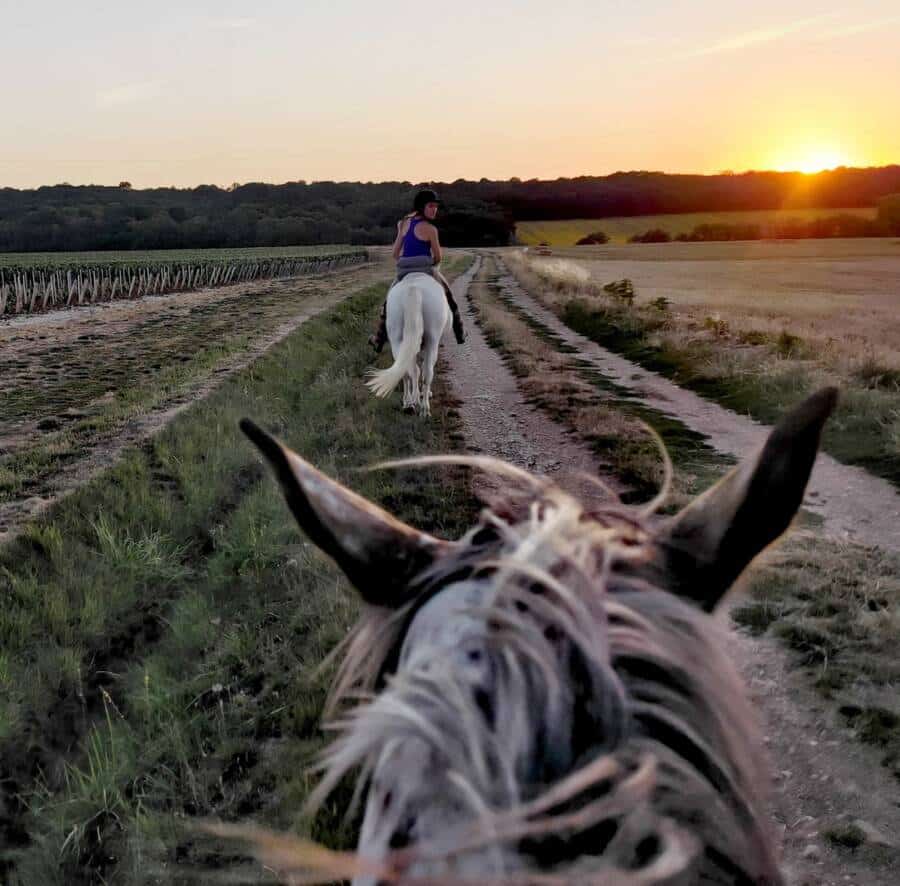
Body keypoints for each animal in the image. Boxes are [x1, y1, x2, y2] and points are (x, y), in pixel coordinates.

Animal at [366, 274, 450, 420]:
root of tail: (413, 290)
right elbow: (421, 369)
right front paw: (423, 394)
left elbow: (414, 370)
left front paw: (417, 397)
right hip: (432, 341)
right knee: (426, 372)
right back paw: (423, 408)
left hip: (398, 340)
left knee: (408, 371)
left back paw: (410, 404)